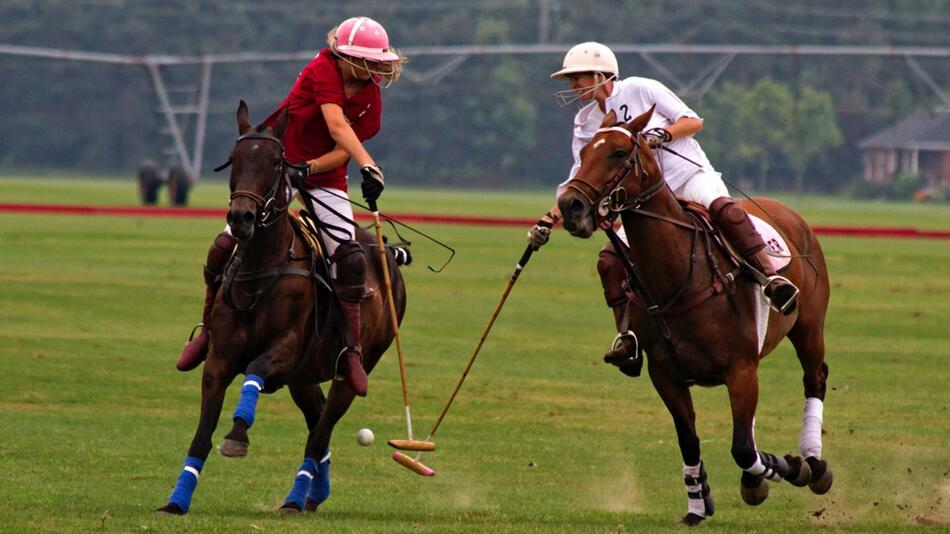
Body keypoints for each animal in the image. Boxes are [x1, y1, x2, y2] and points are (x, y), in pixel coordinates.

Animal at [160, 102, 406, 516]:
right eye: (234, 159)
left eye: (276, 162)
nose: (241, 217)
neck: (260, 269)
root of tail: (387, 249)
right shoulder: (220, 359)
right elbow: (201, 435)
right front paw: (177, 500)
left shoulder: (285, 350)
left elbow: (255, 371)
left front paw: (237, 435)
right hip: (304, 376)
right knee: (317, 422)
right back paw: (313, 494)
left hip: (352, 367)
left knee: (321, 429)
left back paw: (295, 498)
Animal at [556, 105, 832, 528]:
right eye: (584, 153)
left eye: (618, 153)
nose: (571, 206)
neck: (680, 276)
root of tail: (787, 211)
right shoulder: (666, 374)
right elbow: (691, 440)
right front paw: (698, 505)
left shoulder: (739, 367)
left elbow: (742, 448)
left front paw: (787, 467)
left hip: (808, 327)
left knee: (814, 379)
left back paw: (814, 464)